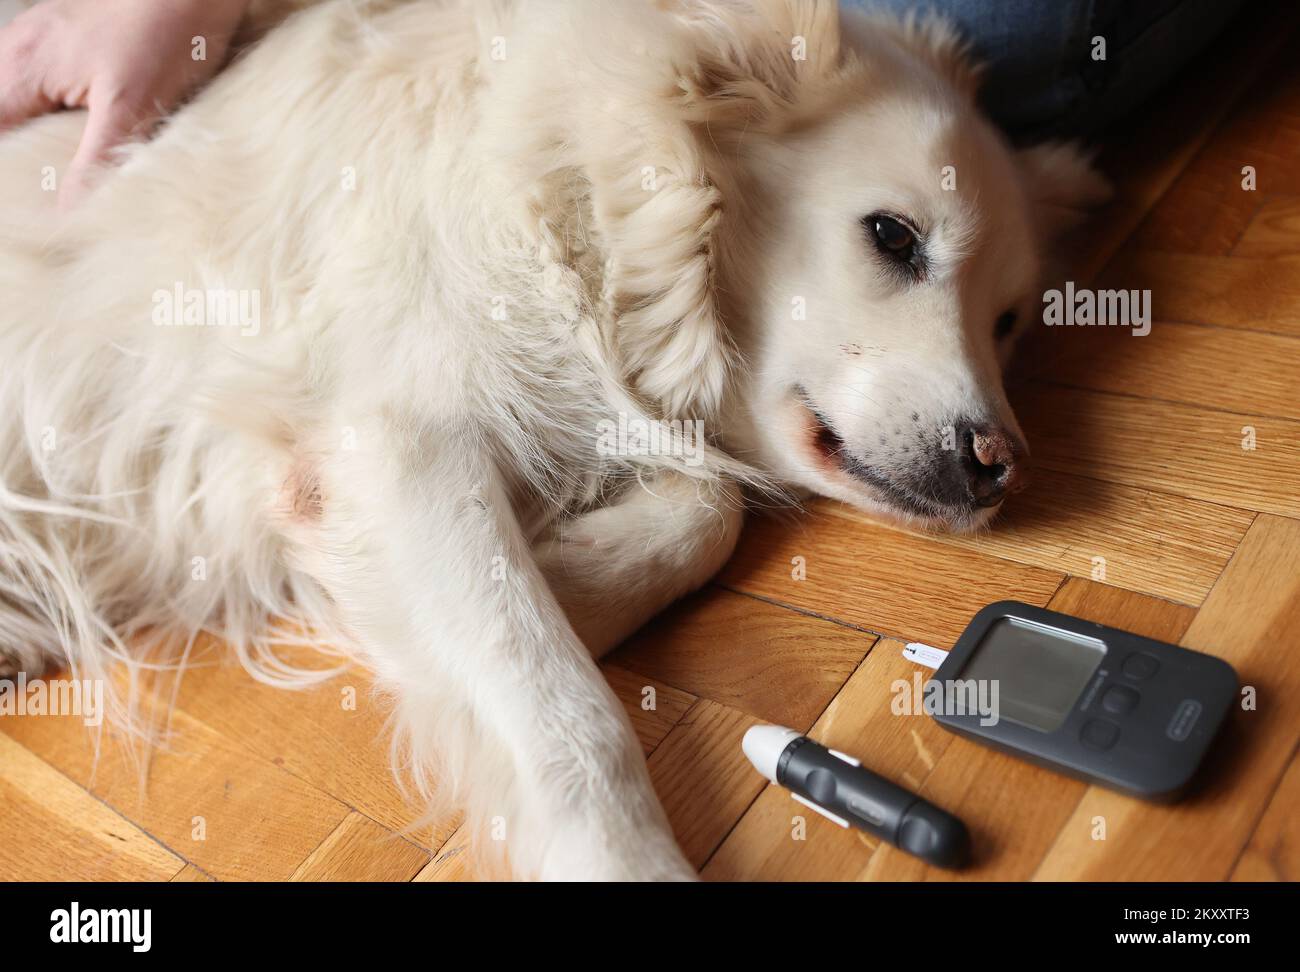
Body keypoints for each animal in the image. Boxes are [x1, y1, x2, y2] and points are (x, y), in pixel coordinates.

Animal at [0, 0, 1102, 878]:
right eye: (892, 237)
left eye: (1009, 321)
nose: (1001, 468)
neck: (580, 188)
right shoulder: (400, 444)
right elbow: (569, 719)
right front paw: (628, 860)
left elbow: (706, 510)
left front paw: (564, 578)